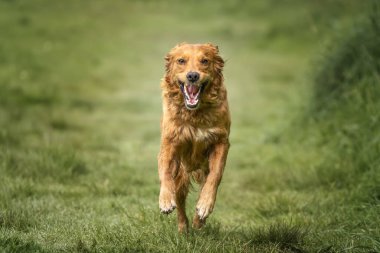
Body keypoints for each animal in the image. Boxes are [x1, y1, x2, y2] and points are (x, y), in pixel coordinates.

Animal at [158, 42, 230, 232]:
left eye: (204, 61)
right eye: (181, 61)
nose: (192, 76)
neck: (194, 114)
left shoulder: (221, 141)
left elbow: (215, 176)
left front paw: (205, 205)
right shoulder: (169, 142)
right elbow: (165, 172)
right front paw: (165, 200)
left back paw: (199, 220)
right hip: (181, 173)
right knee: (180, 200)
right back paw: (183, 227)